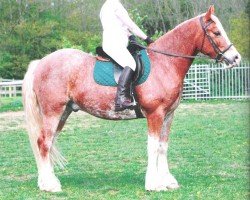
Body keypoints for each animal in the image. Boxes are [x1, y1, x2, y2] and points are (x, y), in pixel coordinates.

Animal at [23, 5, 240, 191]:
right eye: (216, 33)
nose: (236, 58)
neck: (165, 62)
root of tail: (41, 63)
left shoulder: (168, 115)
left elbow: (163, 146)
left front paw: (167, 181)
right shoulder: (155, 114)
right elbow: (152, 147)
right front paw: (154, 184)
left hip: (63, 113)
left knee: (47, 143)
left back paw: (46, 181)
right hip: (53, 112)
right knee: (44, 143)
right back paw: (50, 185)